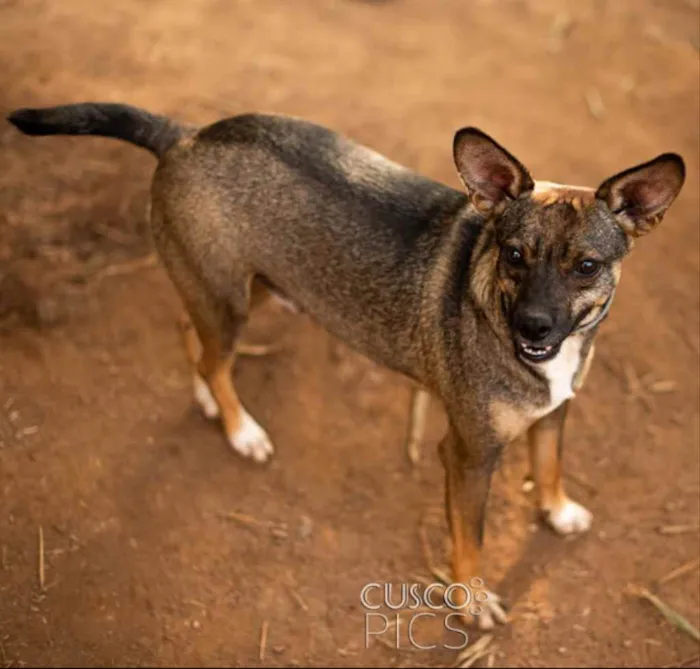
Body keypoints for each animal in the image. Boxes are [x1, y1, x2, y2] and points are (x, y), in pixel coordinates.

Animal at [5, 102, 684, 628]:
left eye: (587, 267)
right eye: (514, 255)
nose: (533, 328)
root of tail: (187, 134)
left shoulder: (555, 413)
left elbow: (549, 466)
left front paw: (558, 510)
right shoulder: (468, 456)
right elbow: (470, 540)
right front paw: (470, 601)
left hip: (243, 289)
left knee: (191, 334)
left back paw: (206, 398)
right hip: (229, 300)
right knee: (217, 357)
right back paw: (240, 428)